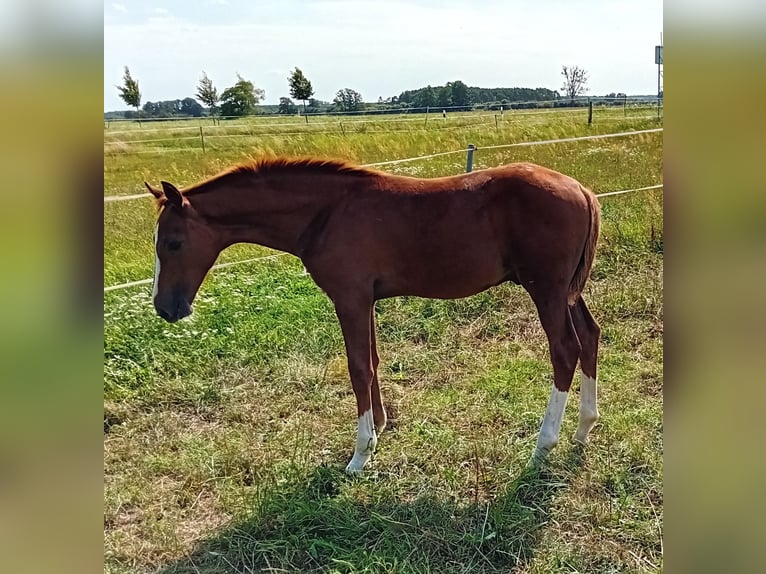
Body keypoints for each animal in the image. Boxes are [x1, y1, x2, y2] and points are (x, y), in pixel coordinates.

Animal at [145, 157, 601, 475]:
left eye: (173, 243)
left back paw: (544, 444)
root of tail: (581, 189)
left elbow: (358, 367)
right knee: (591, 337)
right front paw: (381, 427)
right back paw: (584, 428)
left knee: (565, 350)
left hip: (546, 290)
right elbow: (374, 361)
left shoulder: (349, 298)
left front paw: (361, 453)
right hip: (567, 292)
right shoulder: (366, 299)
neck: (327, 213)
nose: (166, 309)